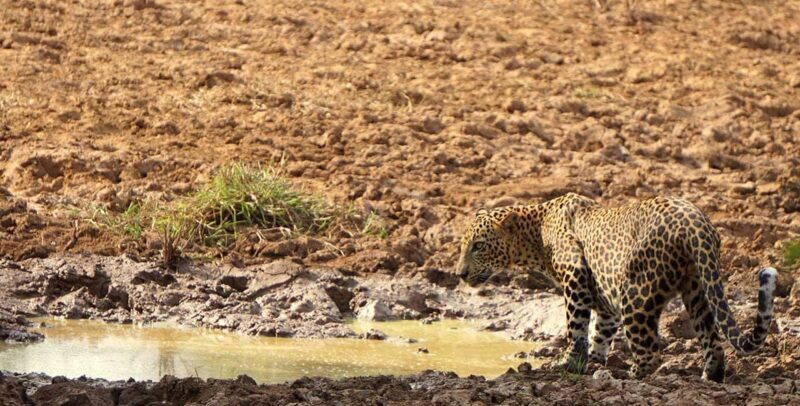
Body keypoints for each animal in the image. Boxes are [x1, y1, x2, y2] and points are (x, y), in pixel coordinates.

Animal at [456, 193, 778, 382]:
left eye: (478, 246)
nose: (459, 274)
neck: (535, 231)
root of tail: (695, 222)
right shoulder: (603, 300)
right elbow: (601, 331)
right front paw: (595, 361)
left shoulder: (575, 276)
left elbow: (576, 327)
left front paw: (569, 364)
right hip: (698, 288)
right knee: (712, 338)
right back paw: (710, 376)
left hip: (636, 293)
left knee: (649, 351)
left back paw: (628, 377)